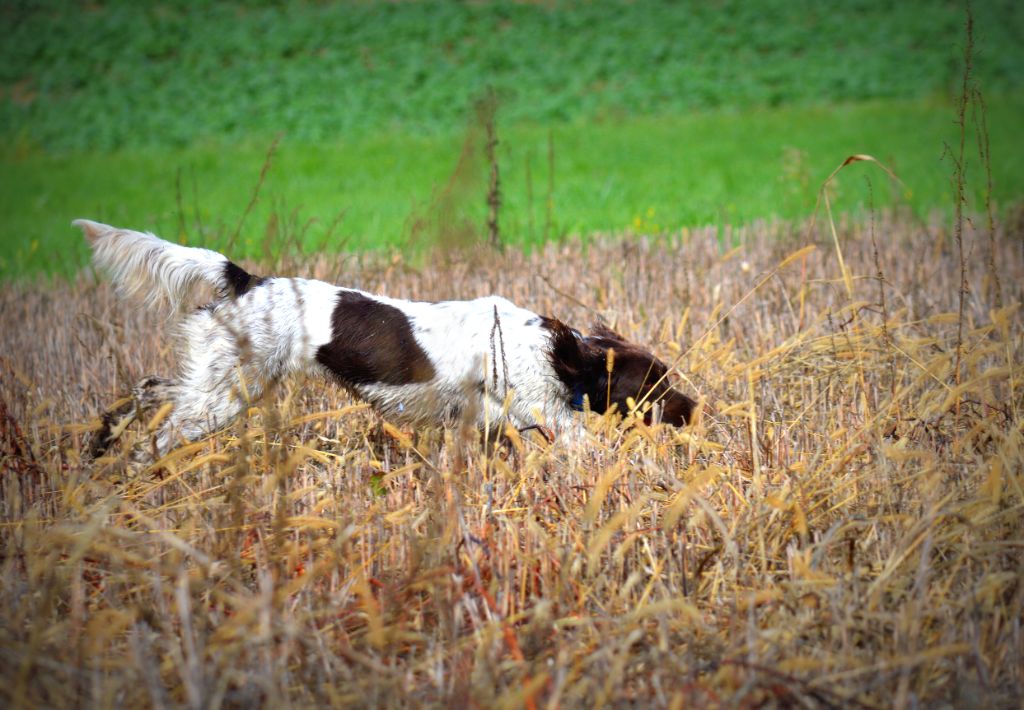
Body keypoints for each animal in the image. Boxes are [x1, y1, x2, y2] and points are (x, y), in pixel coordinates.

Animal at [76, 219, 695, 458]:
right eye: (657, 382)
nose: (696, 409)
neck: (558, 353)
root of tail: (247, 279)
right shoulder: (546, 415)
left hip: (216, 382)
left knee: (150, 391)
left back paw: (106, 442)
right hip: (228, 393)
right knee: (161, 433)